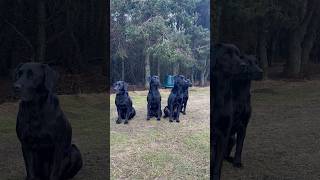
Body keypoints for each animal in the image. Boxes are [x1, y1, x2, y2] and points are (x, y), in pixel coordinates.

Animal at [211, 43, 249, 180]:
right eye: (226, 54)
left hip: (231, 138)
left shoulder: (224, 133)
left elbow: (217, 164)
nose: (244, 65)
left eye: (239, 55)